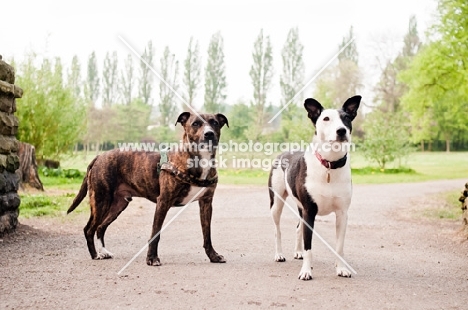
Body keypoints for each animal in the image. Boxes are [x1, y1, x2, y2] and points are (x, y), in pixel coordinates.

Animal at [268, 95, 360, 280]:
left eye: (346, 117)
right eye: (326, 119)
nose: (341, 131)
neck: (329, 165)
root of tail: (284, 153)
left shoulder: (342, 214)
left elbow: (339, 246)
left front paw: (341, 268)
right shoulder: (310, 211)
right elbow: (308, 246)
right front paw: (306, 271)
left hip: (300, 207)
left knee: (298, 228)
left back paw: (297, 252)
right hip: (276, 203)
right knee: (277, 230)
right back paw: (279, 254)